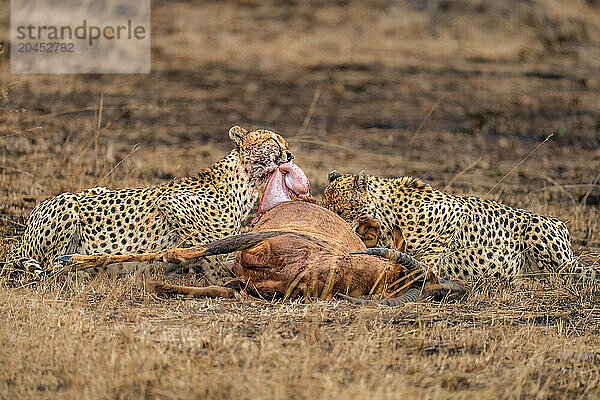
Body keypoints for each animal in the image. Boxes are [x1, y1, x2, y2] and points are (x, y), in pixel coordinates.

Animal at [4, 126, 296, 282]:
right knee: (49, 265)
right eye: (273, 141)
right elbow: (212, 245)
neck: (245, 180)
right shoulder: (171, 203)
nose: (290, 154)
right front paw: (219, 273)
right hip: (66, 204)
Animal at [322, 170, 592, 280]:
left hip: (550, 247)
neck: (386, 212)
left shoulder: (457, 211)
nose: (332, 222)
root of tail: (559, 222)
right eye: (326, 206)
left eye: (341, 210)